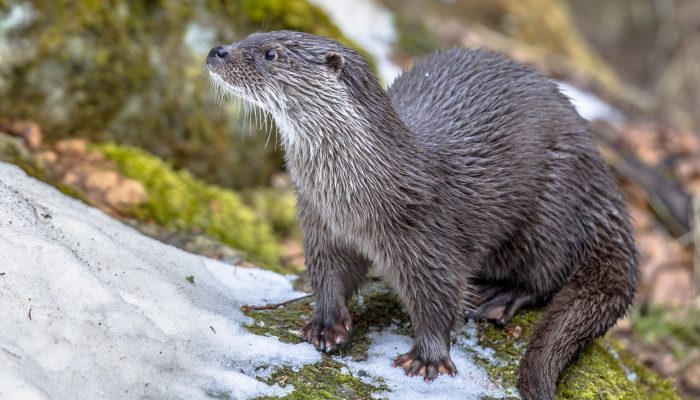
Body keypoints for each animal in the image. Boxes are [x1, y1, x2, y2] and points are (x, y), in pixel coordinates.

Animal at [206, 31, 638, 400]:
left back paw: (499, 296)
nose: (217, 51)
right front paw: (327, 325)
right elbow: (328, 275)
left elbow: (438, 297)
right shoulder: (321, 226)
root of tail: (605, 182)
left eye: (271, 53)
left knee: (547, 273)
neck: (355, 196)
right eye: (249, 36)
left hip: (552, 208)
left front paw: (427, 359)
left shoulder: (428, 236)